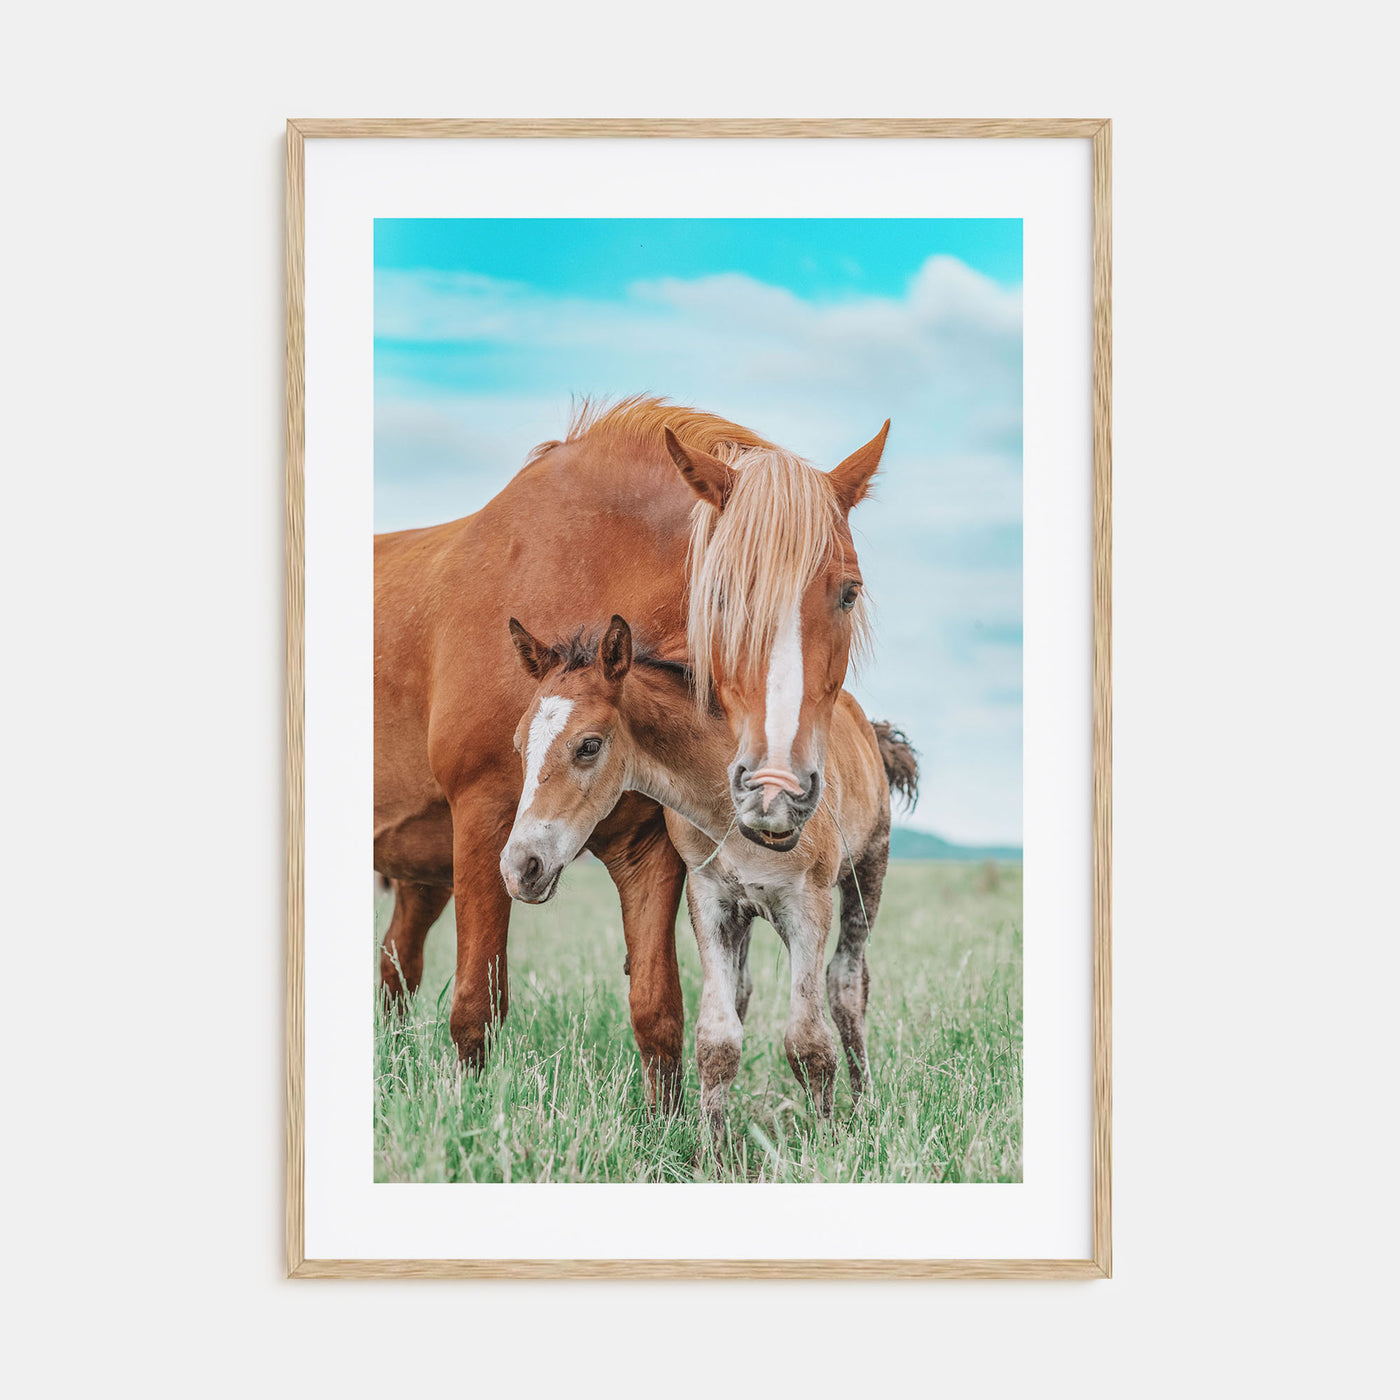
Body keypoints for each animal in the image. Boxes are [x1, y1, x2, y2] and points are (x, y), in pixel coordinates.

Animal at [374, 397, 888, 1108]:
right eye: (719, 595)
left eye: (849, 591)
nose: (776, 790)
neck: (586, 567)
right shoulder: (483, 821)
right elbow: (477, 1003)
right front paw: (470, 1117)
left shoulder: (652, 851)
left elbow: (658, 1009)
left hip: (421, 876)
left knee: (396, 972)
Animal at [500, 615, 919, 1139]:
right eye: (519, 745)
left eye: (589, 745)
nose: (520, 867)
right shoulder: (712, 901)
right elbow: (717, 1040)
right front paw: (711, 1150)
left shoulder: (808, 904)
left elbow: (808, 1041)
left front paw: (825, 1143)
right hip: (747, 913)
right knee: (744, 991)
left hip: (869, 869)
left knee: (846, 983)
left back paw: (862, 1105)